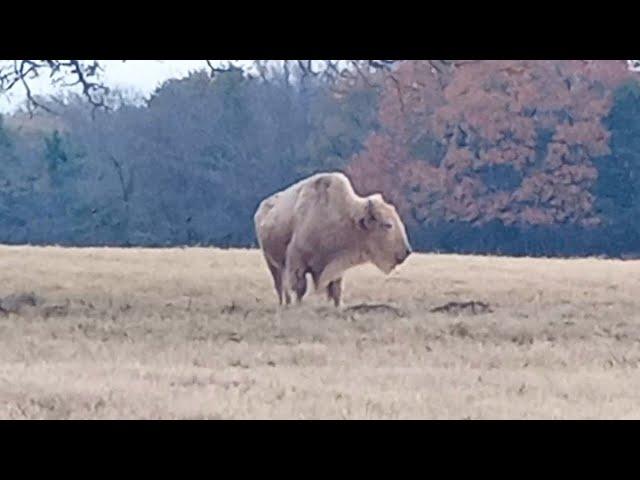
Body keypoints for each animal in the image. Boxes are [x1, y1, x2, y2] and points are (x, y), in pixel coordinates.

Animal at [252, 173, 412, 308]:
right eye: (387, 225)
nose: (407, 251)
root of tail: (261, 208)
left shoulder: (336, 266)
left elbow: (336, 288)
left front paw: (338, 306)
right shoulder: (297, 263)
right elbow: (300, 288)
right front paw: (299, 306)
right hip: (272, 263)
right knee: (280, 285)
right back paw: (285, 304)